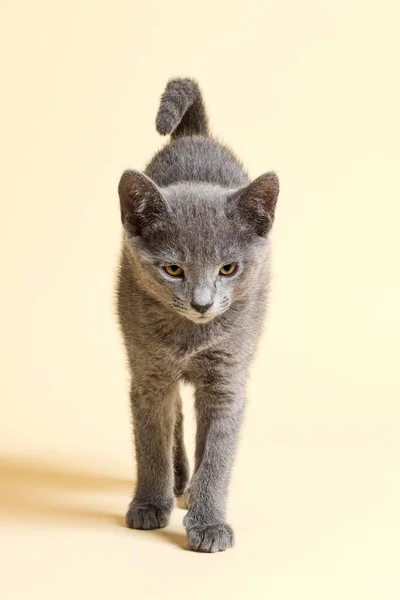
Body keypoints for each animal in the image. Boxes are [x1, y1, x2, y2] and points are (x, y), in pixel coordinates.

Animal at [116, 79, 278, 552]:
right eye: (173, 269)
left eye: (228, 268)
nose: (202, 303)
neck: (192, 337)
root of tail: (195, 136)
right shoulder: (149, 373)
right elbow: (151, 442)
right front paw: (150, 504)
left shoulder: (227, 379)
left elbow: (219, 453)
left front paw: (208, 522)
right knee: (175, 416)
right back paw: (176, 482)